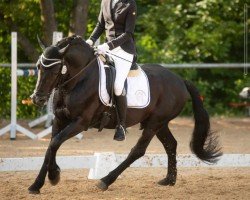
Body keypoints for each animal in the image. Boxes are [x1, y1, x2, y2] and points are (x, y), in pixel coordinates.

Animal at [28, 35, 222, 194]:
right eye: (38, 67)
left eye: (54, 70)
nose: (37, 99)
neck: (78, 80)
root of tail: (180, 80)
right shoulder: (60, 120)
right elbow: (51, 147)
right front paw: (36, 185)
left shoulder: (80, 122)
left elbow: (55, 143)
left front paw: (54, 176)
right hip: (159, 123)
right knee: (171, 145)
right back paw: (169, 180)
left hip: (155, 123)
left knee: (138, 151)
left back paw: (105, 181)